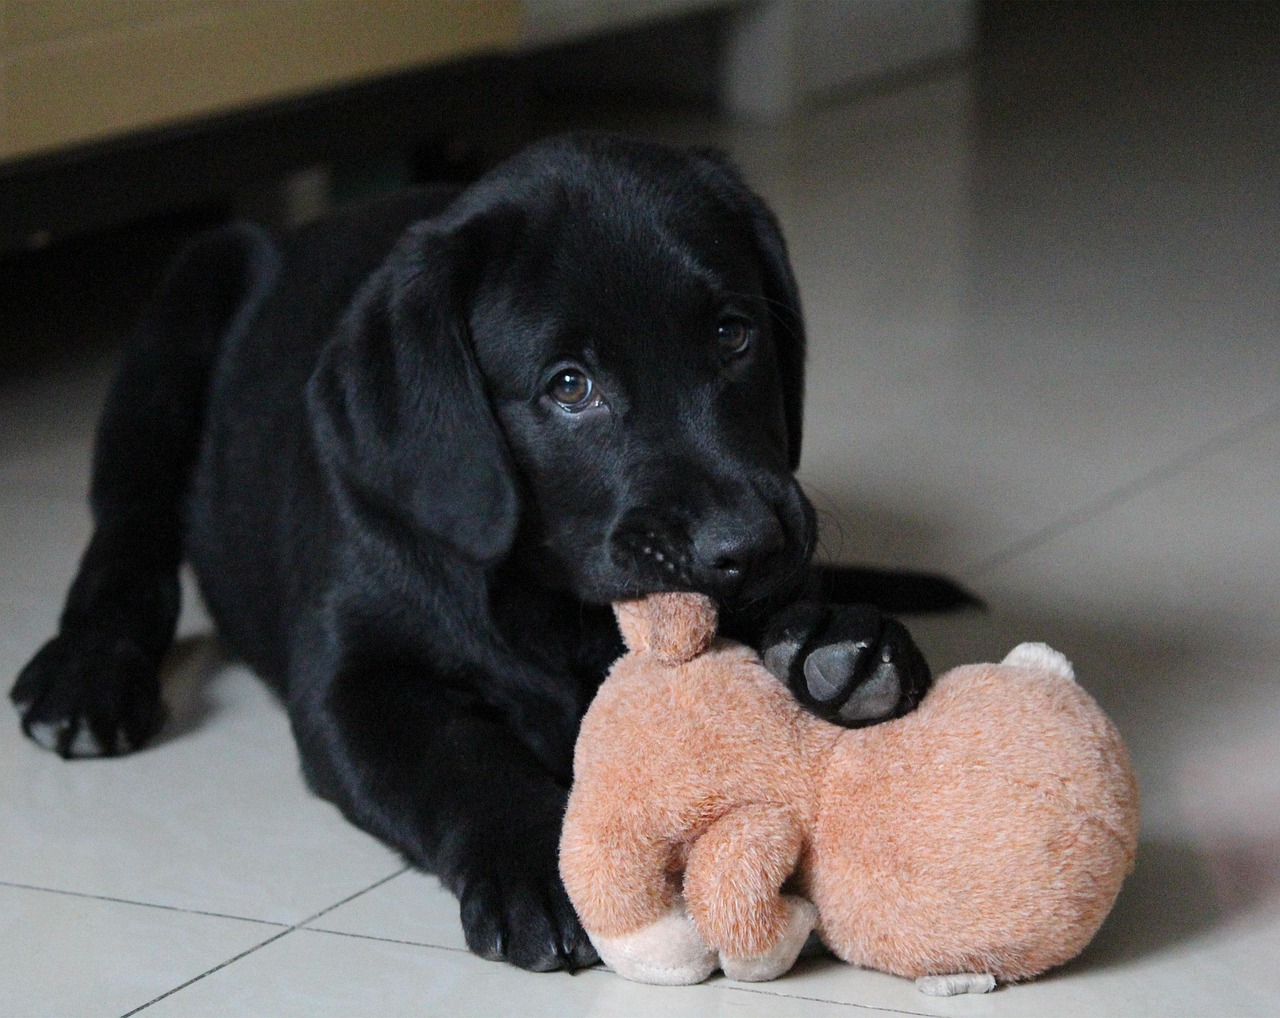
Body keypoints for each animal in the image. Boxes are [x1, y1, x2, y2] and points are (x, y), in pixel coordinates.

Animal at [12, 133, 967, 973]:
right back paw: (87, 676)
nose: (752, 546)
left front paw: (835, 639)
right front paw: (543, 870)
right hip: (181, 312)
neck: (552, 606)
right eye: (570, 387)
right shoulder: (353, 683)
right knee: (126, 542)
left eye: (735, 335)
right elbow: (462, 758)